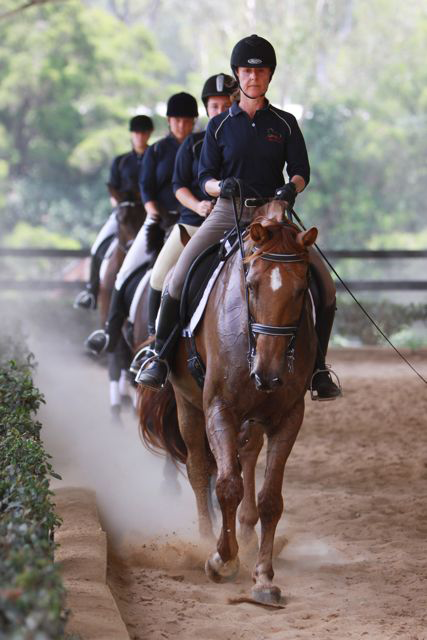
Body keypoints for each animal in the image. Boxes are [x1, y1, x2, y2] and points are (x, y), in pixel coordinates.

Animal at [138, 199, 318, 604]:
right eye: (250, 285)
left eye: (302, 290)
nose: (268, 373)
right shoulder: (219, 408)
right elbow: (226, 484)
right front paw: (222, 559)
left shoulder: (288, 416)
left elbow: (270, 498)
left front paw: (263, 577)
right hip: (188, 405)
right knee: (198, 469)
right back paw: (206, 540)